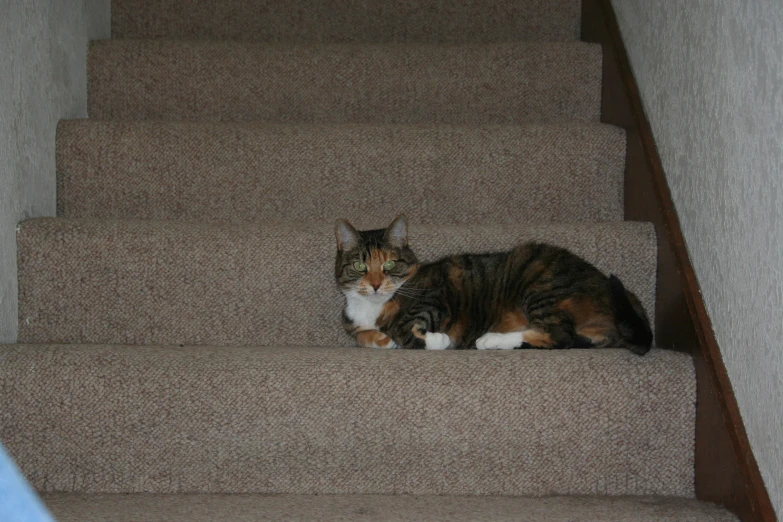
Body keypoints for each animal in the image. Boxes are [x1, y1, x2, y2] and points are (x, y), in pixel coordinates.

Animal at [336, 214, 656, 354]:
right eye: (360, 266)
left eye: (389, 265)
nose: (376, 285)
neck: (372, 307)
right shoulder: (353, 324)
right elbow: (364, 336)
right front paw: (380, 339)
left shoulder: (438, 294)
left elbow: (405, 328)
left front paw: (438, 341)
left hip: (540, 282)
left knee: (559, 334)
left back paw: (490, 340)